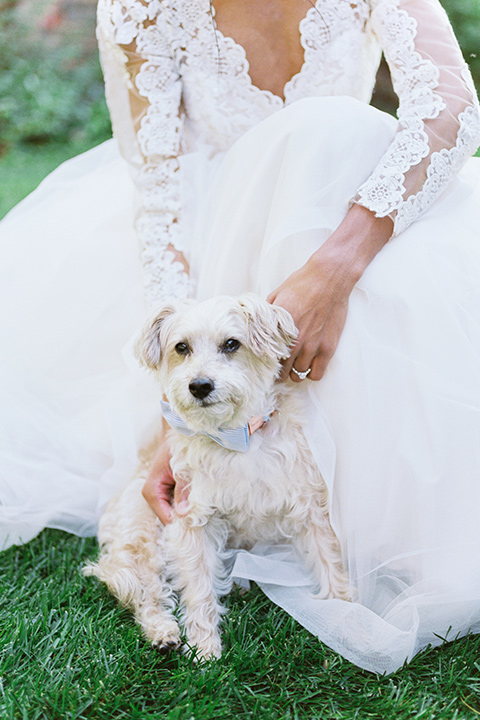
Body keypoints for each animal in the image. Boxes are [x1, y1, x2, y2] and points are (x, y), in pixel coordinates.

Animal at [85, 292, 348, 660]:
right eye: (181, 347)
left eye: (231, 344)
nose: (199, 386)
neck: (238, 439)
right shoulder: (191, 520)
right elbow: (198, 587)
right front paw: (204, 648)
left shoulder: (309, 505)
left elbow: (330, 562)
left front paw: (346, 623)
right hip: (144, 541)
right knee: (146, 591)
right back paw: (163, 632)